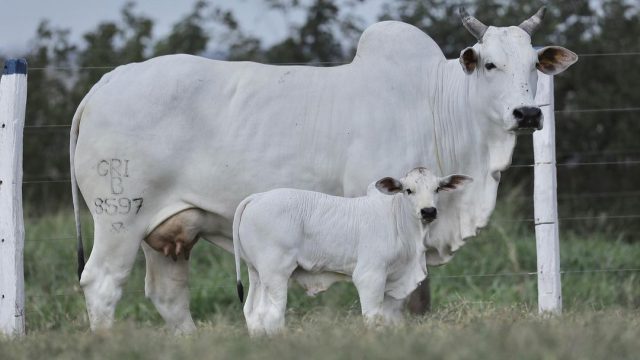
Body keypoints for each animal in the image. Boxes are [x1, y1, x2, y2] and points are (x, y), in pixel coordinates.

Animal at [232, 167, 472, 336]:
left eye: (437, 189)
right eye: (408, 190)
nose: (428, 211)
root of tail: (257, 197)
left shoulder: (393, 280)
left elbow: (390, 318)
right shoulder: (370, 275)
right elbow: (373, 317)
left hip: (256, 272)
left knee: (252, 312)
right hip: (276, 273)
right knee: (272, 315)